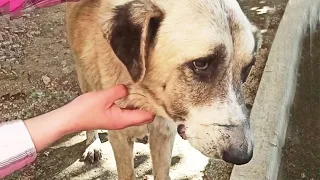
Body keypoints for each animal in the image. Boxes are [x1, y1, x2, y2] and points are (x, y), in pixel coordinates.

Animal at [65, 0, 262, 179]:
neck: (146, 98)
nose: (243, 156)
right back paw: (92, 144)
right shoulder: (119, 137)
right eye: (201, 64)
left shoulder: (165, 132)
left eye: (247, 69)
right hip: (85, 77)